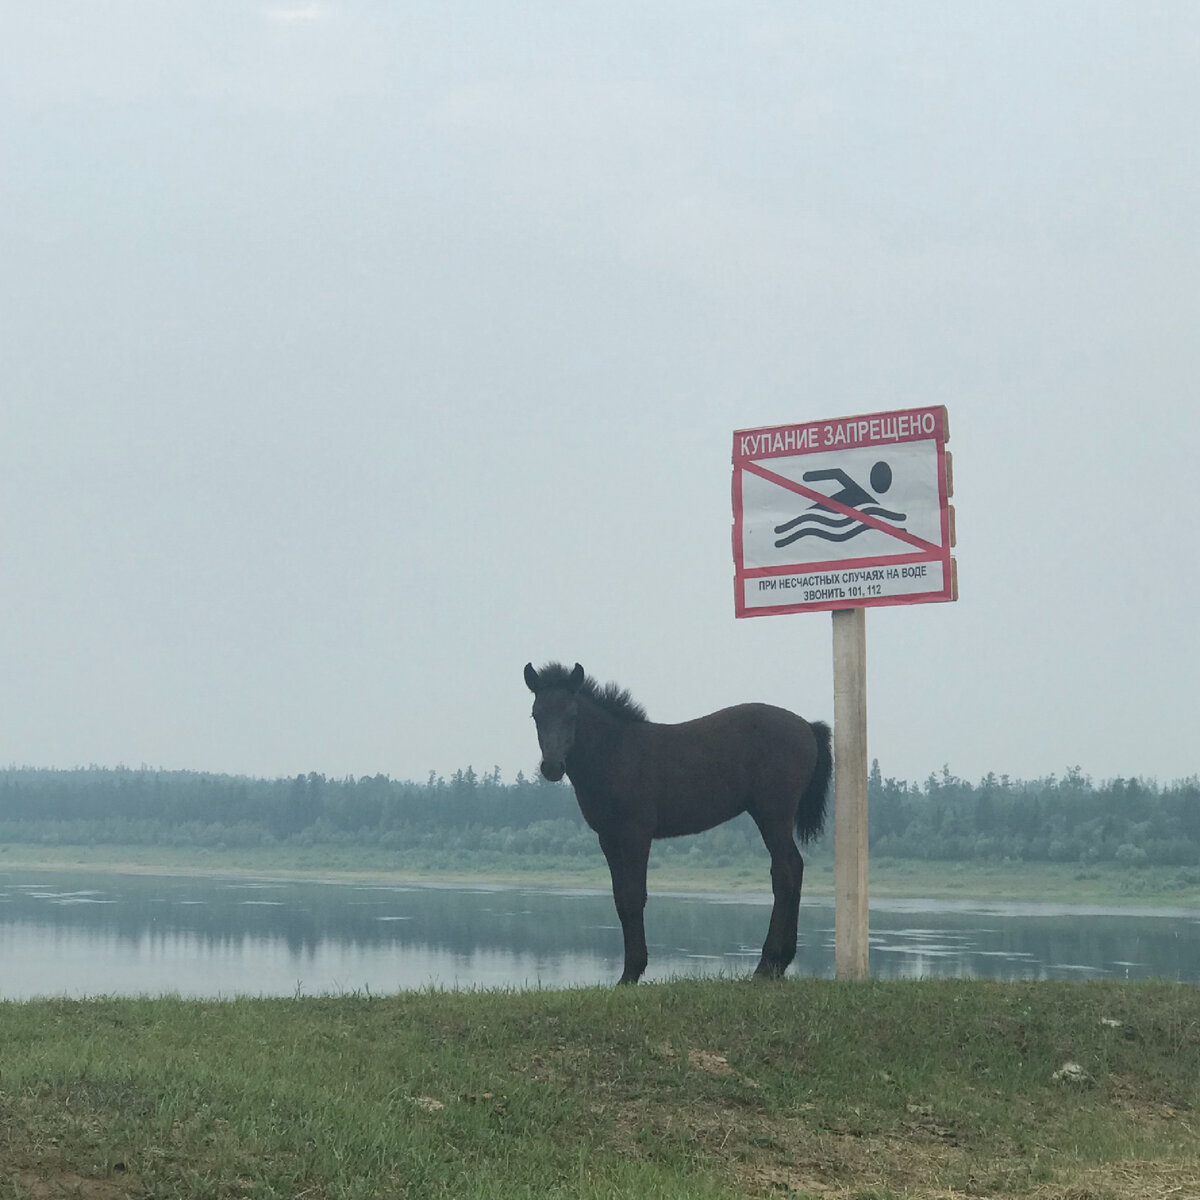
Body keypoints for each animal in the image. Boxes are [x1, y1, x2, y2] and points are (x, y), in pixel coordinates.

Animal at [525, 662, 835, 979]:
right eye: (536, 714)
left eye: (572, 714)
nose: (552, 767)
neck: (615, 753)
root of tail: (808, 726)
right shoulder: (608, 838)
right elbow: (620, 898)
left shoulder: (636, 833)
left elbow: (634, 896)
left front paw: (632, 972)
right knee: (794, 868)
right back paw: (780, 963)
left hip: (773, 814)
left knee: (784, 873)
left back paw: (766, 964)